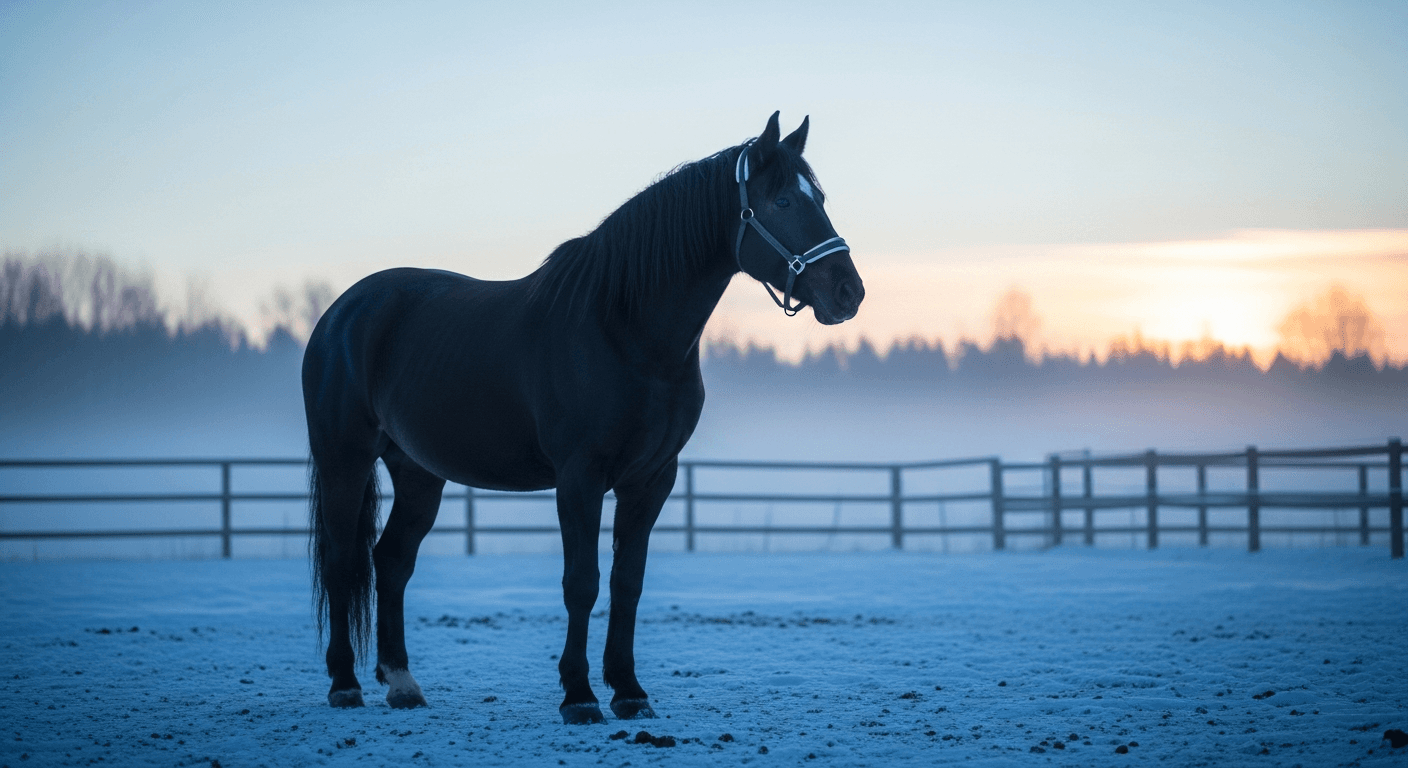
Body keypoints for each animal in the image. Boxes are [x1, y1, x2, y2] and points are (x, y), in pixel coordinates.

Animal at [302, 112, 865, 724]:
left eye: (820, 198)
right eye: (783, 201)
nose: (849, 292)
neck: (623, 330)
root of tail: (341, 313)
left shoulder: (651, 479)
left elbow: (627, 583)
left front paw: (629, 690)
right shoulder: (580, 477)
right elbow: (583, 583)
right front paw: (579, 695)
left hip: (418, 471)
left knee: (392, 561)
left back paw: (402, 682)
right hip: (345, 460)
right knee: (341, 559)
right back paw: (343, 683)